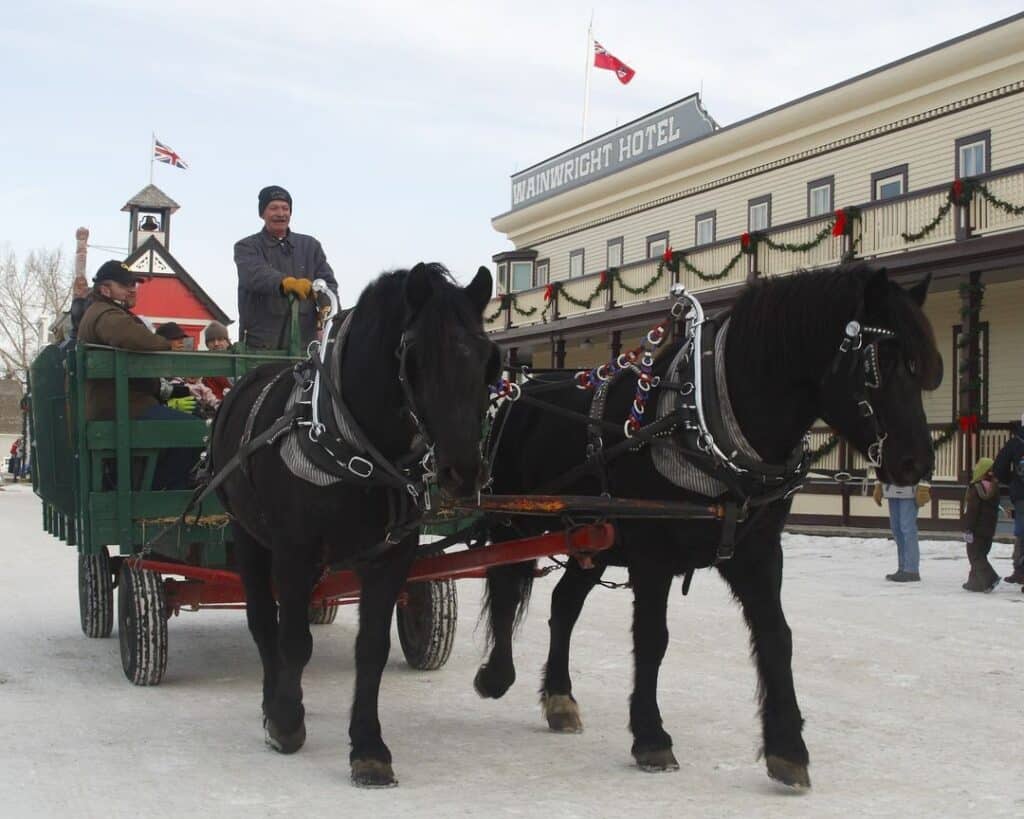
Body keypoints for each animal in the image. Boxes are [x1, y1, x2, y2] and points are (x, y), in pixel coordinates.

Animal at [209, 262, 497, 786]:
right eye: (416, 356)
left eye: (490, 359)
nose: (464, 471)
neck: (355, 444)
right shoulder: (294, 551)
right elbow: (293, 640)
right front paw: (285, 720)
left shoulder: (392, 554)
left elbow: (372, 648)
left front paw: (368, 746)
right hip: (249, 536)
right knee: (263, 622)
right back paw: (273, 701)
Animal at [475, 266, 937, 790]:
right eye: (880, 363)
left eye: (922, 367)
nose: (918, 461)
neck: (705, 420)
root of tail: (520, 393)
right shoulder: (652, 554)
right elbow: (652, 638)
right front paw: (651, 736)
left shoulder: (757, 552)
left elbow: (777, 637)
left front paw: (787, 747)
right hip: (515, 521)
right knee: (506, 588)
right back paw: (496, 675)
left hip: (589, 538)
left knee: (564, 604)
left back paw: (558, 696)